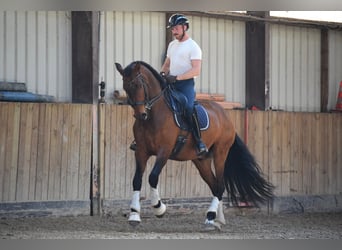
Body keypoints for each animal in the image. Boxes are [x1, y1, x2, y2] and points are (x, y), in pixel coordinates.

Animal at [115, 60, 276, 230]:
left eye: (138, 84)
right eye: (126, 87)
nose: (141, 115)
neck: (153, 116)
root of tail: (225, 116)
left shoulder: (164, 151)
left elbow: (152, 177)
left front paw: (159, 208)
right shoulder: (141, 151)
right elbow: (136, 180)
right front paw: (134, 215)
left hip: (220, 154)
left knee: (220, 185)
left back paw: (211, 217)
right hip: (201, 161)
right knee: (214, 185)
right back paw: (217, 219)